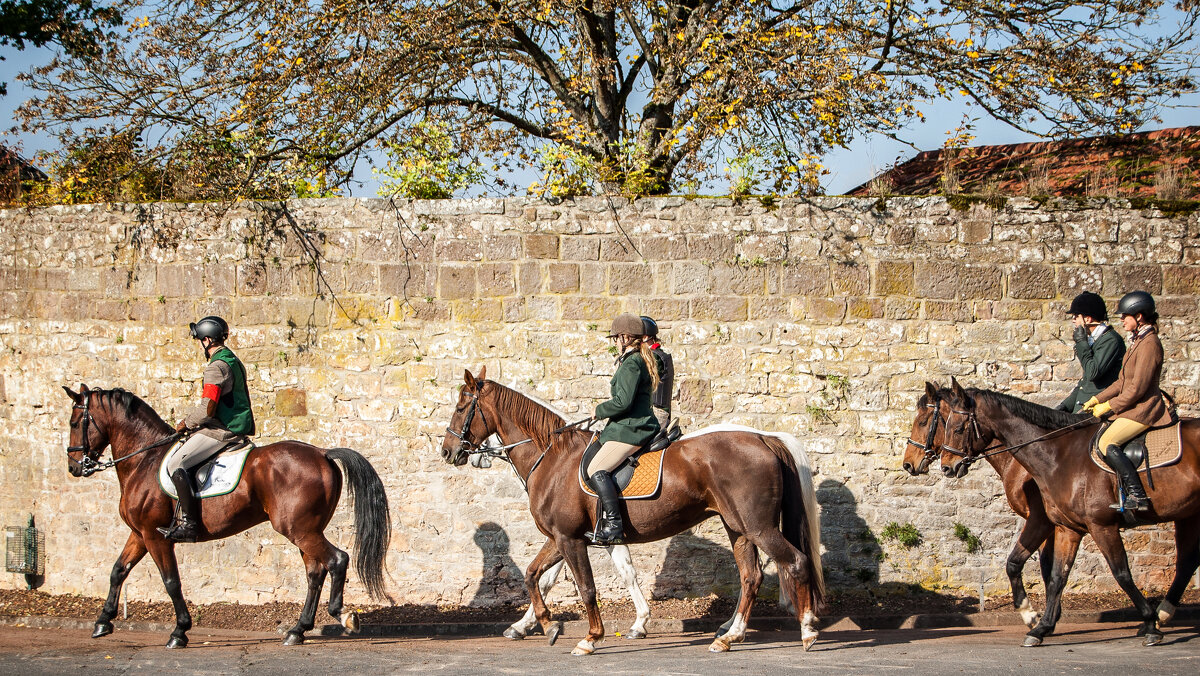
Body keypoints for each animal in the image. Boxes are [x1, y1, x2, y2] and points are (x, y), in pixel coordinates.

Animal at [60, 384, 388, 648]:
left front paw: (179, 632)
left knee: (336, 560)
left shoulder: (155, 536)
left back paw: (342, 615)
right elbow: (118, 570)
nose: (74, 467)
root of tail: (322, 453)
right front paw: (103, 621)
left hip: (300, 530)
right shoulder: (139, 534)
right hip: (305, 530)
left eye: (75, 422)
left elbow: (171, 581)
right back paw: (298, 630)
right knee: (315, 573)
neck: (145, 460)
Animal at [441, 369, 825, 657]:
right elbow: (536, 575)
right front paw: (547, 625)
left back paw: (806, 629)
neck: (553, 457)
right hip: (738, 528)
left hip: (758, 527)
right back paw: (730, 635)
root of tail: (762, 437)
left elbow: (585, 587)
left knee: (796, 562)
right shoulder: (569, 538)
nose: (448, 451)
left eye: (461, 407)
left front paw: (590, 637)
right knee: (751, 577)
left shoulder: (569, 539)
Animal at [902, 384, 1065, 633]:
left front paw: (1040, 616)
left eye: (922, 421)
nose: (908, 463)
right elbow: (1049, 567)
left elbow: (1044, 567)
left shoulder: (1041, 520)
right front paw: (1050, 615)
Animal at [936, 379, 1200, 648]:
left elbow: (1121, 573)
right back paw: (1164, 613)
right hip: (1188, 514)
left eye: (957, 428)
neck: (1058, 455)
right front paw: (1041, 626)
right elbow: (1054, 575)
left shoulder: (1096, 525)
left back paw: (1158, 617)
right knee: (1187, 562)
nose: (946, 467)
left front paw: (1149, 622)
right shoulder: (1067, 528)